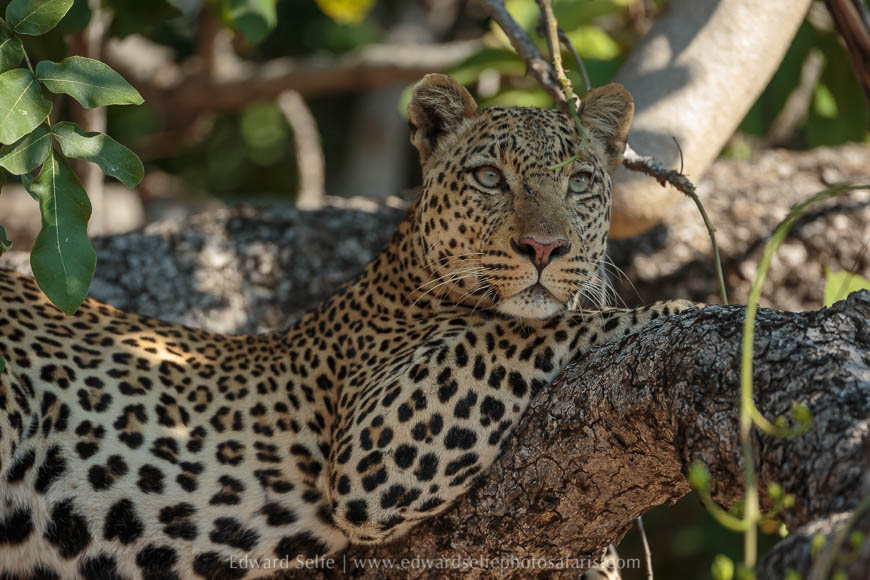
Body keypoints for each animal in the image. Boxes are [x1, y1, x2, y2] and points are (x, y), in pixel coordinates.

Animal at [0, 74, 694, 579]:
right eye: (489, 177)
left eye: (579, 182)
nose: (544, 248)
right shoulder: (375, 442)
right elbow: (518, 330)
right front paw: (674, 312)